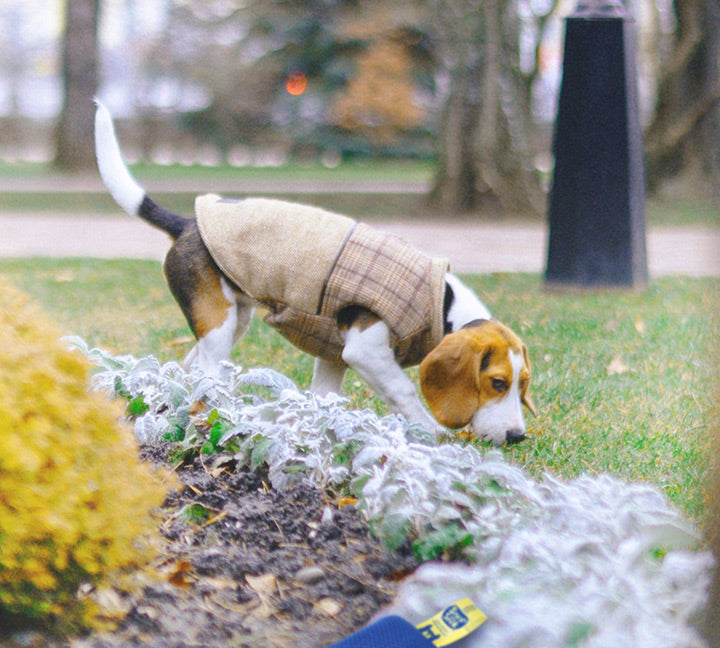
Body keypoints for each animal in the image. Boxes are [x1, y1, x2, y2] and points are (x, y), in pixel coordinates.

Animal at [94, 102, 536, 446]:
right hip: (218, 326)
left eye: (523, 384)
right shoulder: (366, 350)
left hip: (233, 320)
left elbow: (325, 398)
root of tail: (188, 222)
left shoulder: (333, 357)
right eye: (497, 383)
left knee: (190, 369)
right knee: (205, 375)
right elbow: (403, 389)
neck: (443, 306)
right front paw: (430, 432)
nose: (518, 437)